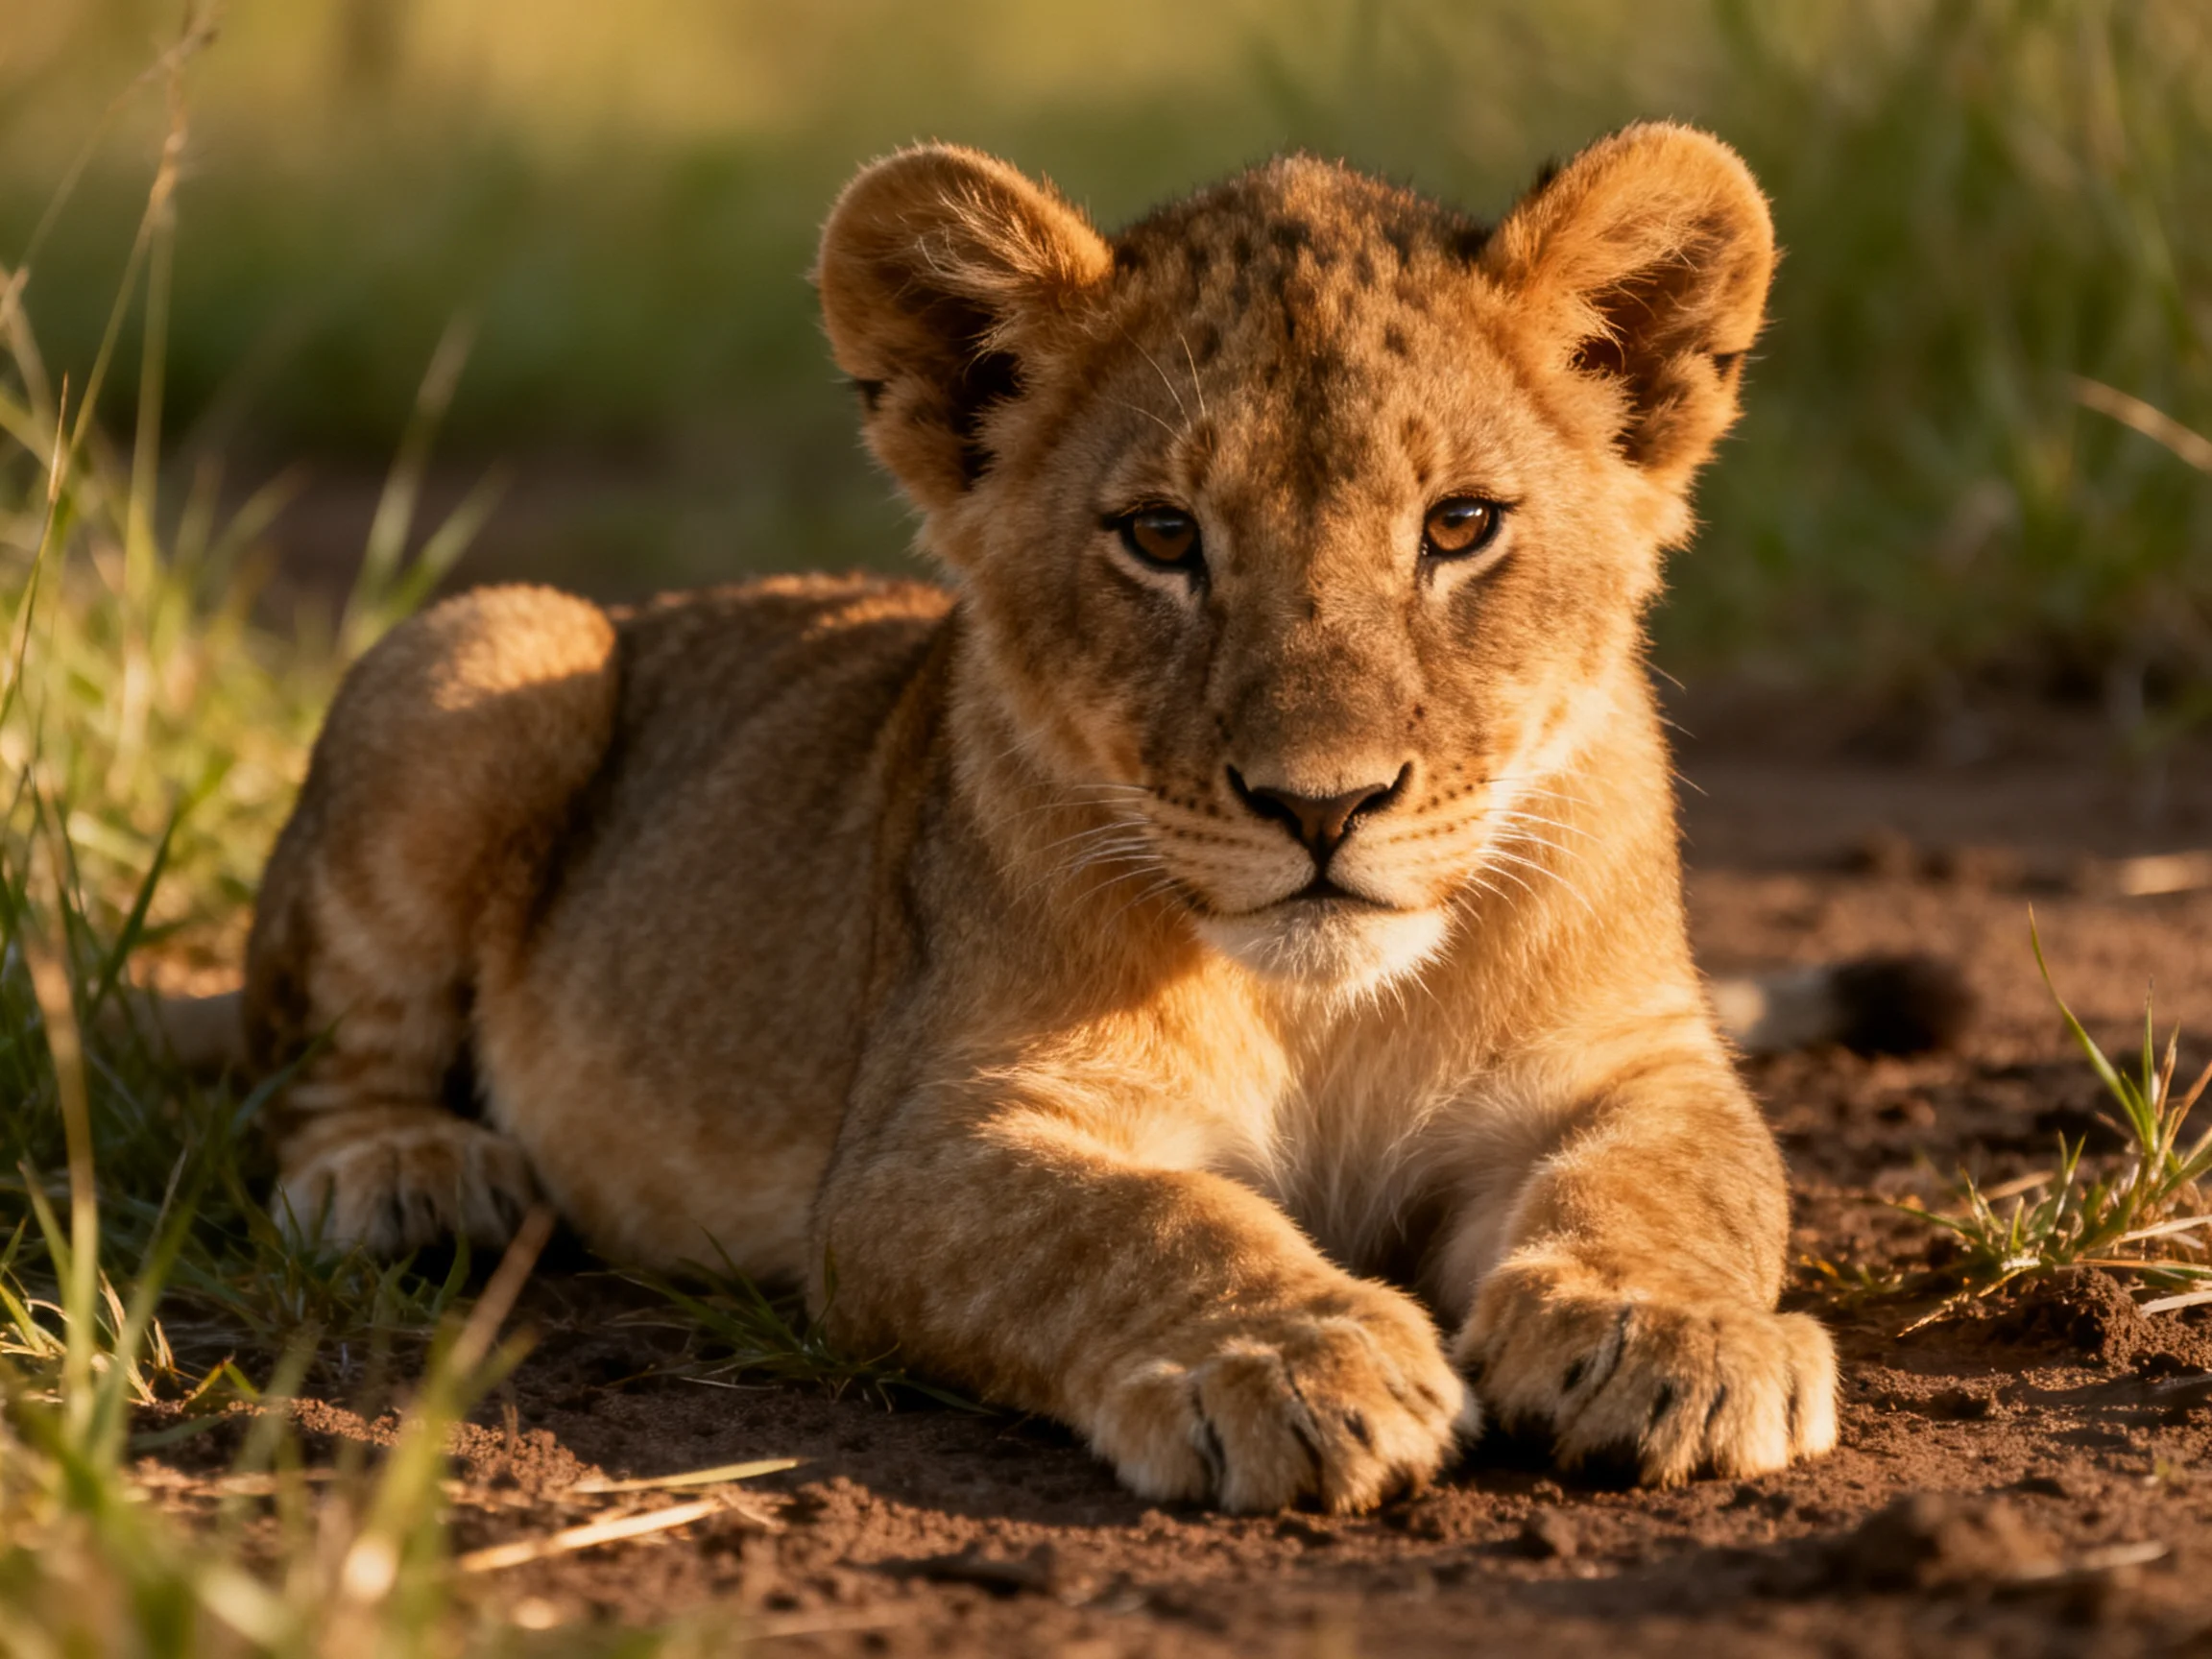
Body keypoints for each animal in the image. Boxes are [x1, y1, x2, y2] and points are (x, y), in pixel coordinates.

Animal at [236, 124, 1848, 1512]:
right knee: (304, 1081)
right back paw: (410, 1175)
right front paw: (1288, 1361)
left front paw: (1666, 1338)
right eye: (1162, 537)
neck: (1322, 1009)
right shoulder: (931, 1143)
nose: (1320, 804)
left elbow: (1678, 1183)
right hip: (496, 646)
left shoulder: (1636, 1062)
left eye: (1459, 527)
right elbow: (1138, 1225)